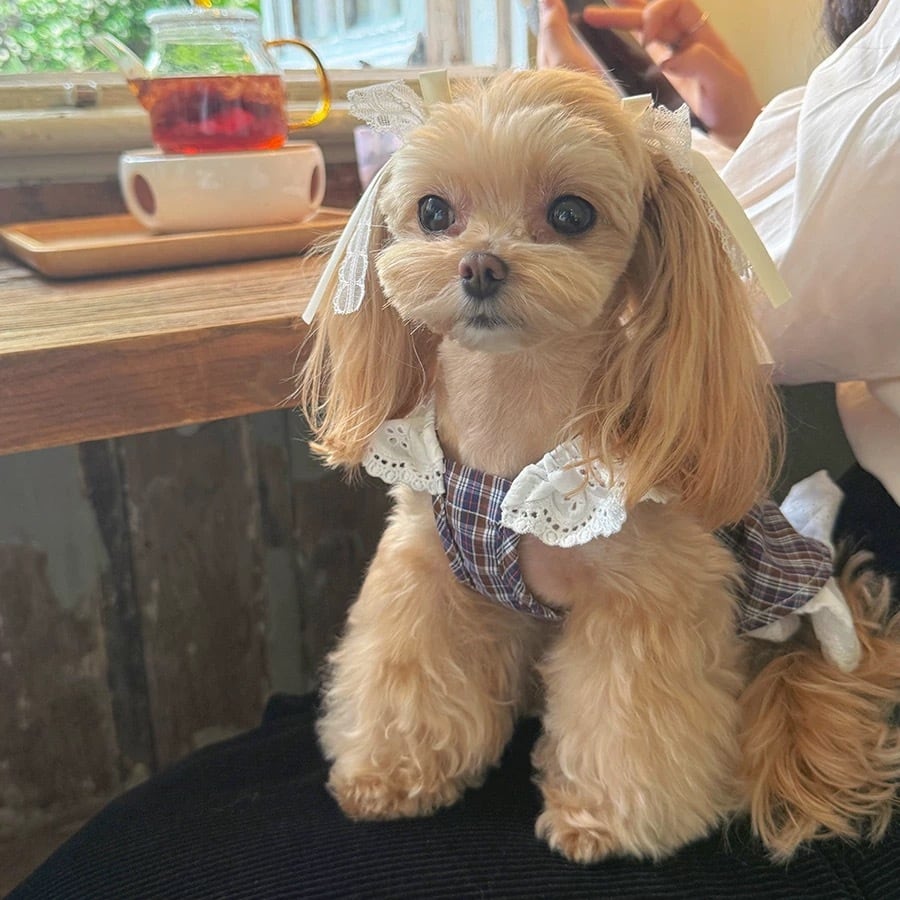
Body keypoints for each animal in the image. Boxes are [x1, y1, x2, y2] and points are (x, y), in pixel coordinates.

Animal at [299, 67, 900, 863]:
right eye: (432, 211)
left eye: (571, 213)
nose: (480, 263)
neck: (510, 424)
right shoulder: (427, 571)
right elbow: (405, 672)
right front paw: (390, 772)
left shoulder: (645, 602)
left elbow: (628, 721)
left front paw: (602, 821)